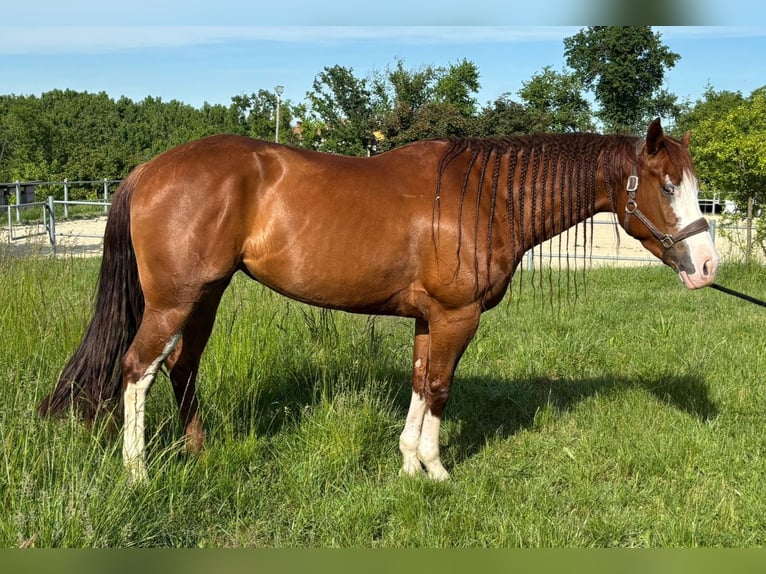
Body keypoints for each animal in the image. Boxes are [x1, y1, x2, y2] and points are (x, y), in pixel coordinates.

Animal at [38, 118, 719, 483]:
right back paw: (138, 472)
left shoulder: (430, 319)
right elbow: (440, 387)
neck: (487, 195)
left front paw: (409, 465)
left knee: (181, 368)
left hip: (205, 296)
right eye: (666, 185)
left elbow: (420, 382)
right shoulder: (456, 317)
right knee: (137, 370)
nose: (709, 267)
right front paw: (438, 472)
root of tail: (146, 170)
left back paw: (199, 454)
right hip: (174, 302)